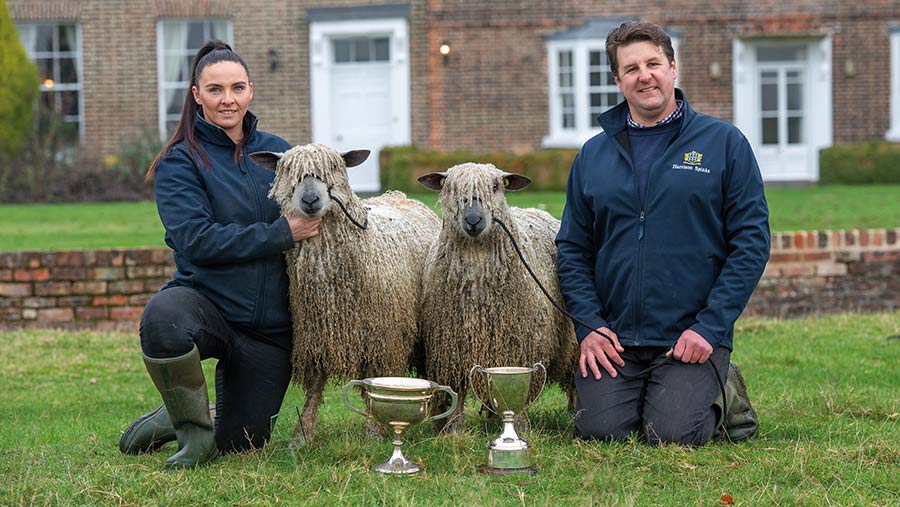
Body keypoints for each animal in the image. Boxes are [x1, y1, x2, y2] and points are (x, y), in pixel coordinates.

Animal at [250, 144, 440, 444]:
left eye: (334, 168)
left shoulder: (382, 337)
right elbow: (315, 386)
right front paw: (302, 435)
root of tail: (398, 195)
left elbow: (377, 381)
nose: (310, 200)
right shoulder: (315, 334)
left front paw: (374, 432)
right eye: (289, 171)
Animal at [416, 163, 576, 432]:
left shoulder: (520, 343)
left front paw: (520, 426)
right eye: (451, 187)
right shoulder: (453, 343)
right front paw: (454, 429)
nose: (473, 220)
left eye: (495, 186)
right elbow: (458, 388)